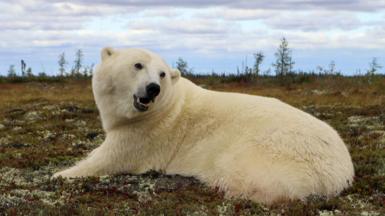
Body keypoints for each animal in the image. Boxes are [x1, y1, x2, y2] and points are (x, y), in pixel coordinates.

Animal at [54, 47, 354, 204]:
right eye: (137, 65)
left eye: (162, 74)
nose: (152, 88)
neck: (168, 105)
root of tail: (342, 172)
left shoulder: (147, 132)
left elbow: (108, 158)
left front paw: (61, 173)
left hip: (272, 152)